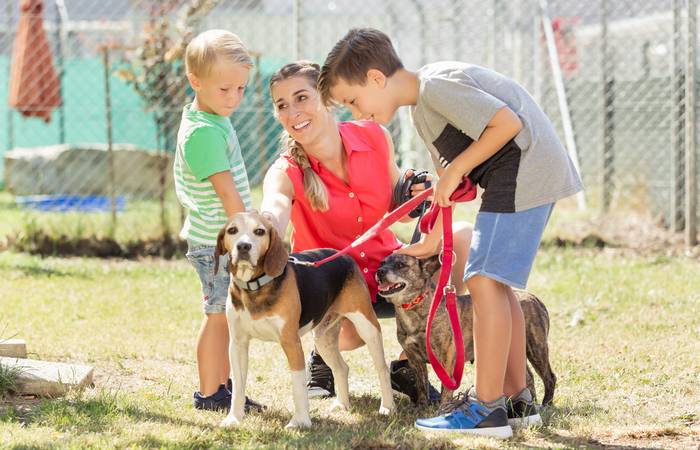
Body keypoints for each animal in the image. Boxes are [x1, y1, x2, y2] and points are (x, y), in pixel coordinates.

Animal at [374, 253, 556, 408]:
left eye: (400, 265)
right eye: (381, 263)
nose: (379, 272)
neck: (415, 305)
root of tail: (533, 297)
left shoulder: (446, 359)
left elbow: (446, 389)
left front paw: (443, 409)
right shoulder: (415, 359)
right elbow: (421, 384)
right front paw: (421, 406)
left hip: (536, 349)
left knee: (549, 377)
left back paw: (546, 404)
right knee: (528, 377)